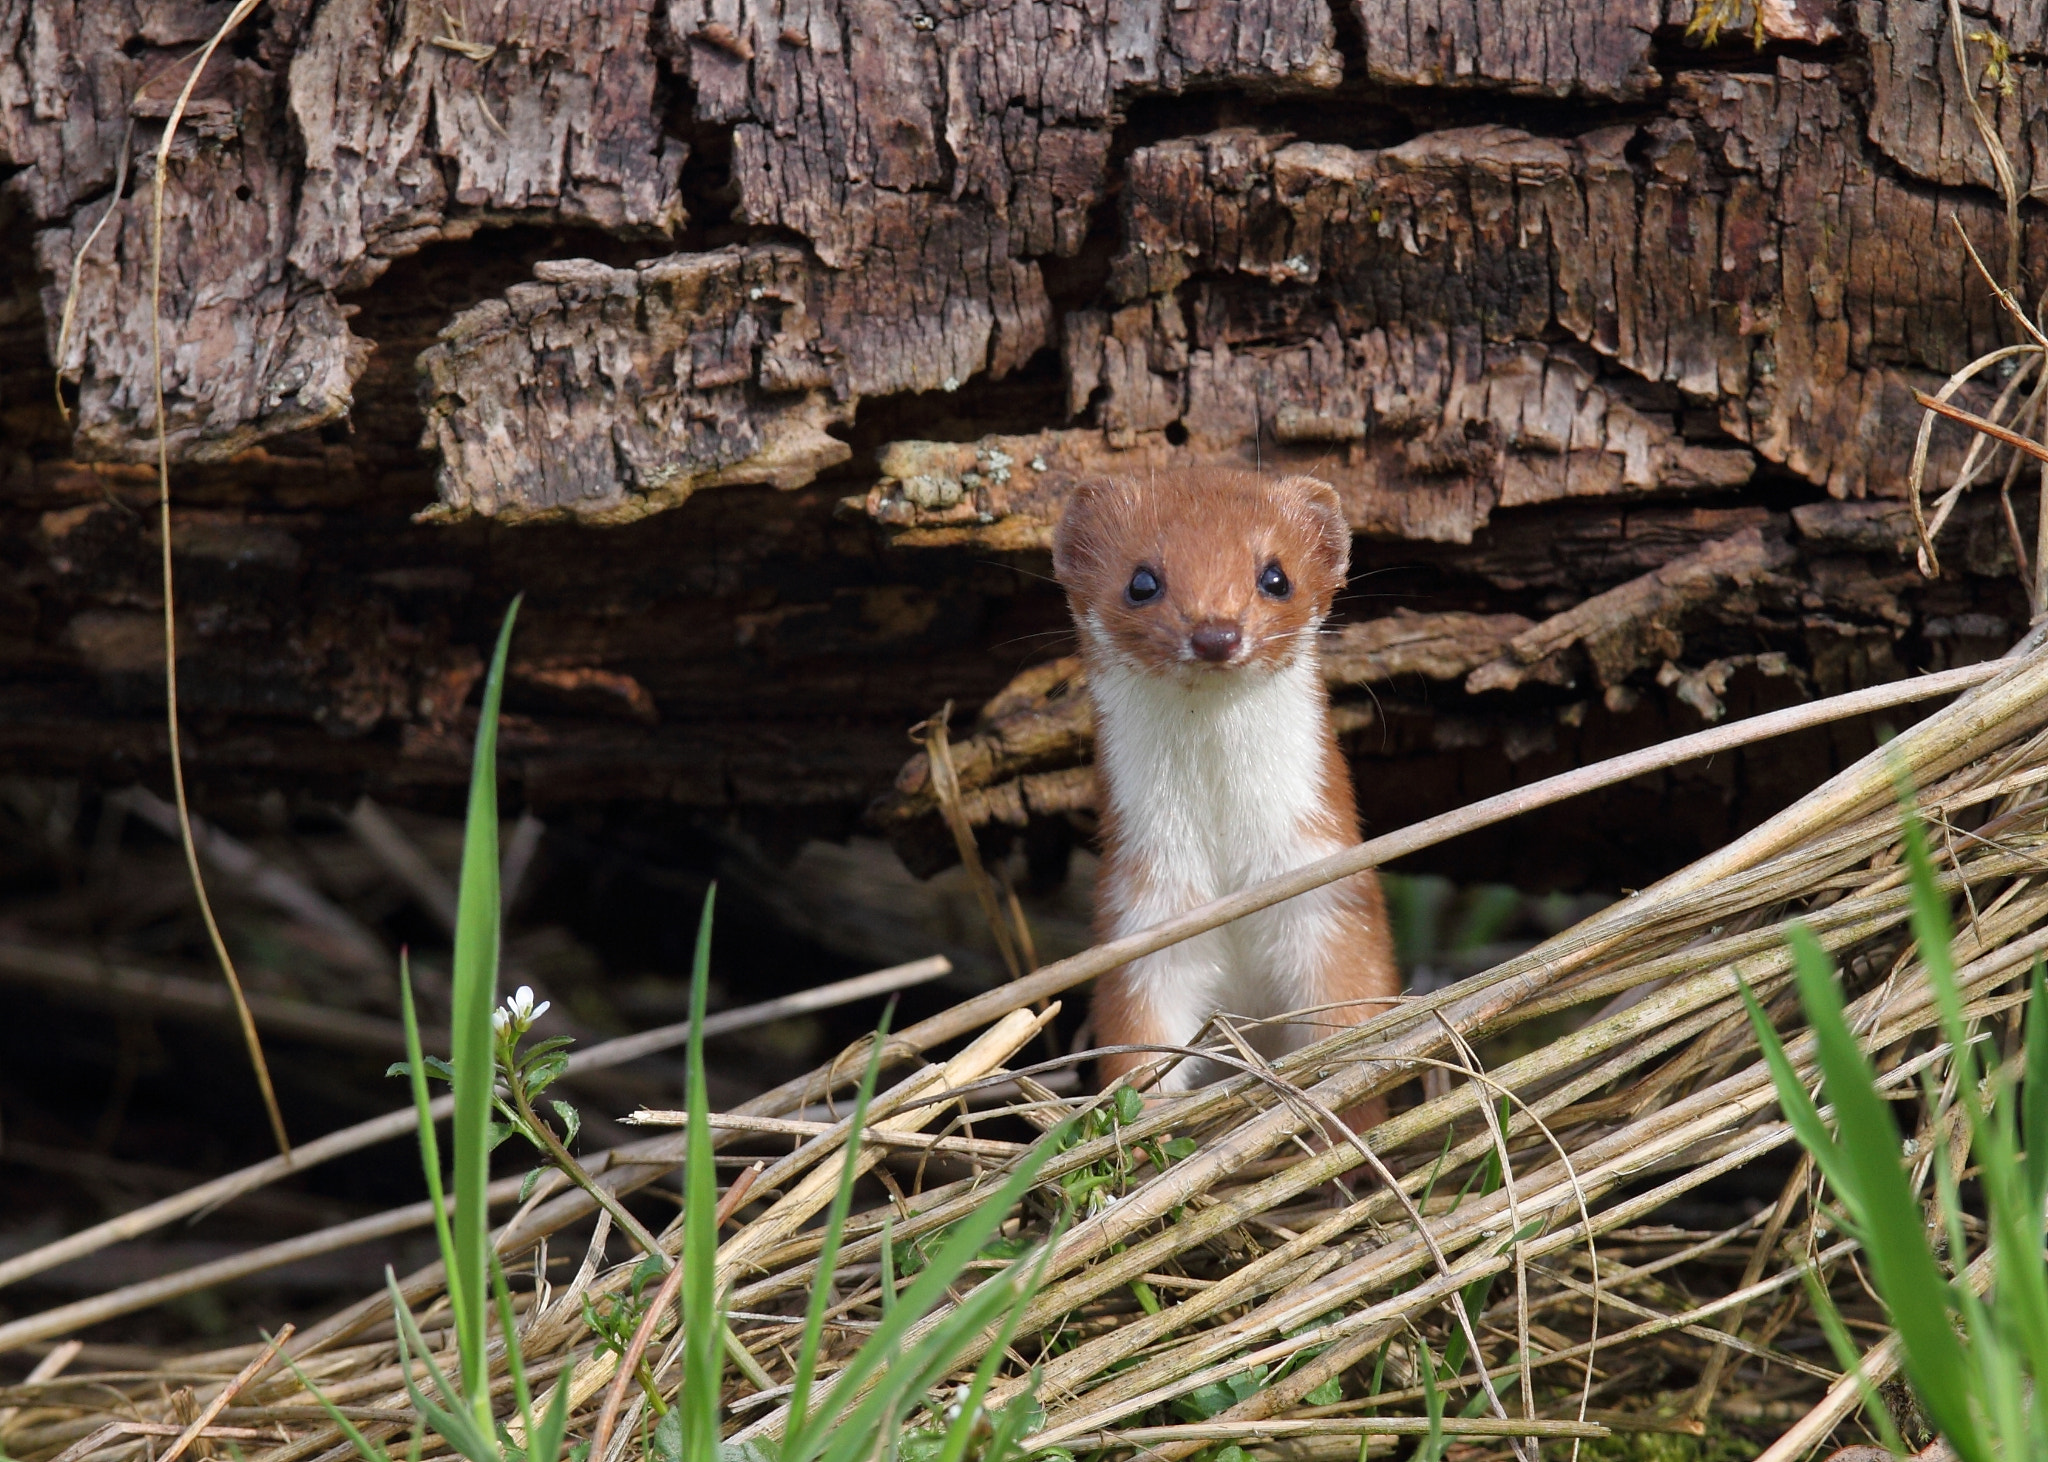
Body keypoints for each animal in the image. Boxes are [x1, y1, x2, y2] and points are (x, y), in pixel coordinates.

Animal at [1048, 466, 1400, 1105]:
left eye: (1275, 575)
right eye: (1141, 580)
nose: (1217, 633)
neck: (1228, 862)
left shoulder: (1331, 900)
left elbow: (1349, 1011)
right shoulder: (1141, 922)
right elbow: (1138, 1043)